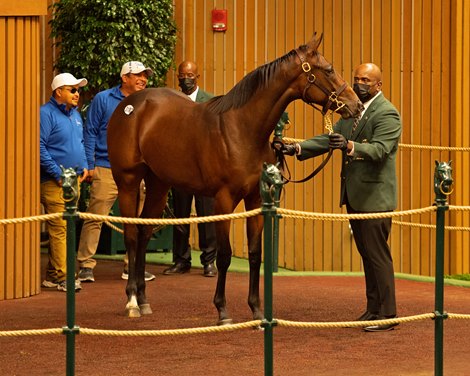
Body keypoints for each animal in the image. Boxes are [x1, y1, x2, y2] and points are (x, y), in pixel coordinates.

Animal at [108, 33, 362, 324]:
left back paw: (143, 299)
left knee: (144, 231)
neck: (242, 128)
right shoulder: (224, 201)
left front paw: (257, 310)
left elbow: (254, 254)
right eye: (329, 70)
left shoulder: (255, 200)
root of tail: (130, 104)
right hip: (128, 182)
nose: (356, 105)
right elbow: (224, 256)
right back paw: (131, 301)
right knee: (130, 234)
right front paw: (222, 311)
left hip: (159, 186)